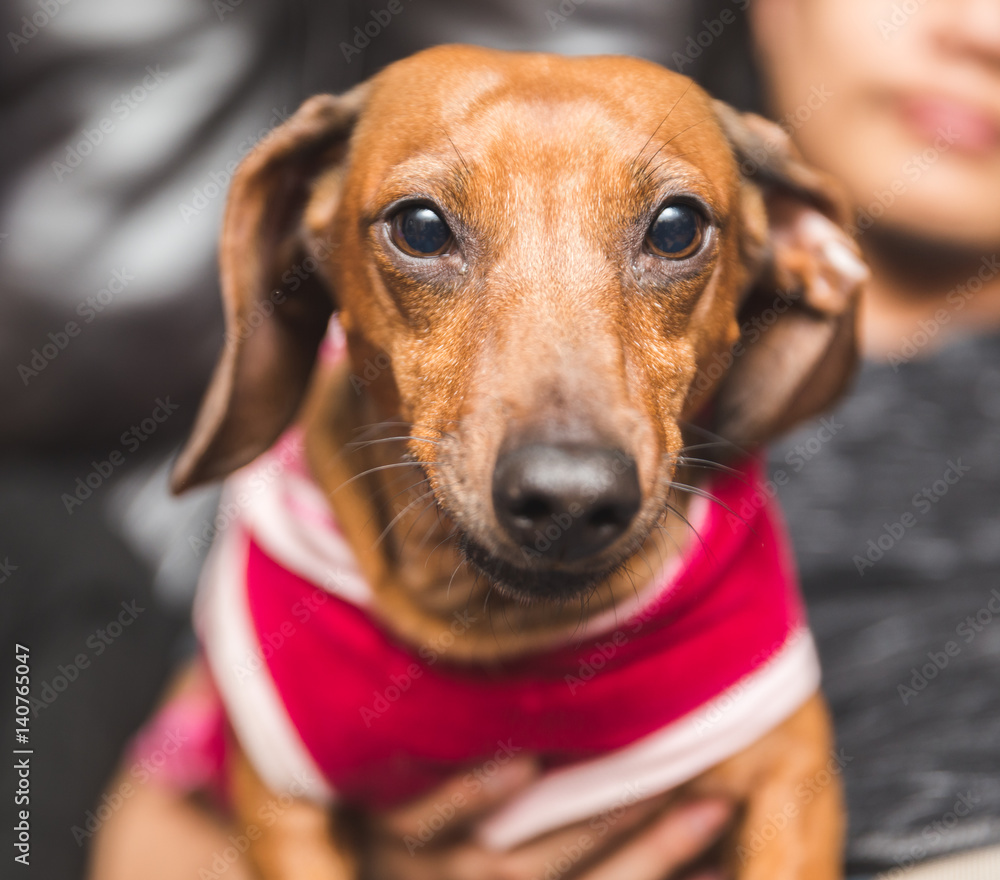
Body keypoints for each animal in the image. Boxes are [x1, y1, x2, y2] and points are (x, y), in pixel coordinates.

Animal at [172, 43, 868, 880]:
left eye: (677, 227)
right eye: (419, 226)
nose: (569, 499)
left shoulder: (788, 776)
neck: (503, 635)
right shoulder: (287, 802)